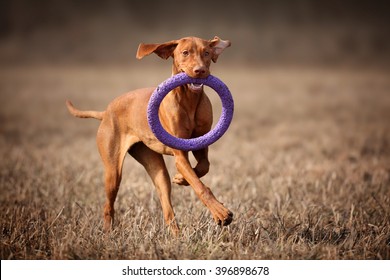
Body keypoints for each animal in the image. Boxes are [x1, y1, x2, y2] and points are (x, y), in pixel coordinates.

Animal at [66, 36, 233, 234]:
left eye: (206, 52)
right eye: (185, 53)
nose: (200, 70)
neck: (189, 101)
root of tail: (106, 112)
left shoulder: (201, 145)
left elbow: (203, 167)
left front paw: (181, 178)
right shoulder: (180, 155)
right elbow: (199, 185)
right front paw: (220, 213)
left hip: (156, 169)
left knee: (167, 206)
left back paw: (176, 235)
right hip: (113, 173)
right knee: (108, 206)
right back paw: (108, 234)